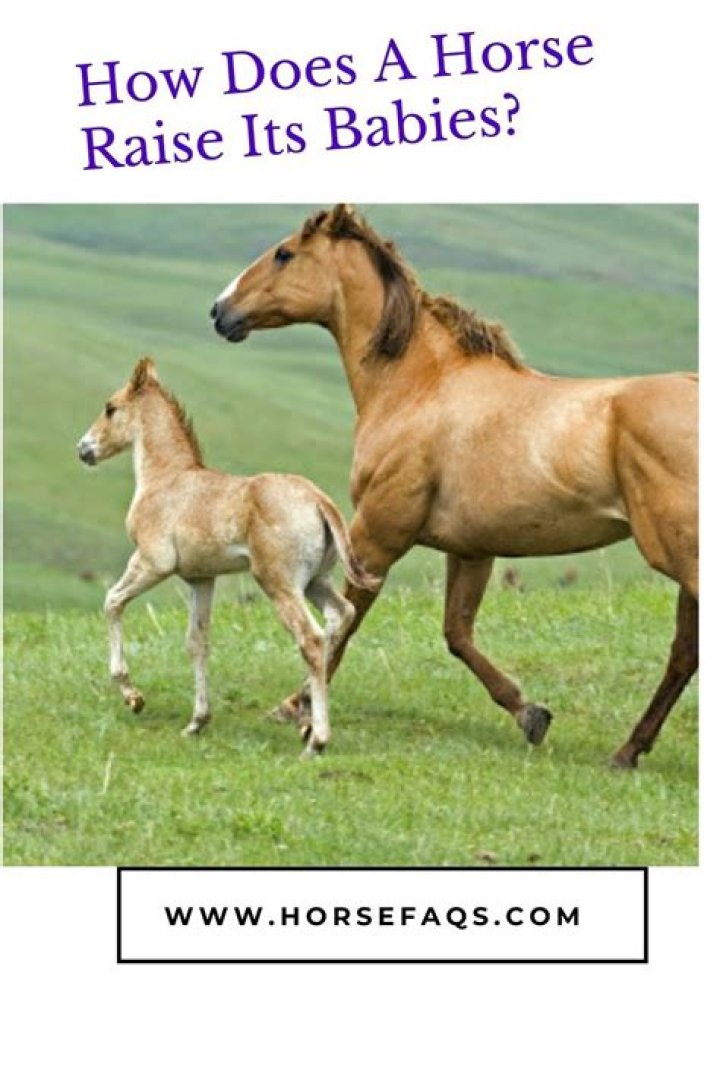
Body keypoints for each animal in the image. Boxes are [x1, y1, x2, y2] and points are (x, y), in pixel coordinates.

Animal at [76, 357, 377, 756]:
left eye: (110, 407)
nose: (84, 449)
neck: (167, 479)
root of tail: (318, 500)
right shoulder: (201, 579)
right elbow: (197, 642)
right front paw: (196, 722)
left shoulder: (152, 563)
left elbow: (112, 602)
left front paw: (133, 696)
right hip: (316, 581)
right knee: (341, 615)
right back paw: (305, 714)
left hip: (279, 584)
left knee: (311, 639)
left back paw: (316, 740)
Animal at [210, 204, 698, 768]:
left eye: (284, 253)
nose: (220, 311)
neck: (419, 386)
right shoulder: (471, 550)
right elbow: (457, 634)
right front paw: (530, 713)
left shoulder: (377, 536)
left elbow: (345, 623)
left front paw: (297, 709)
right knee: (684, 652)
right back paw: (627, 751)